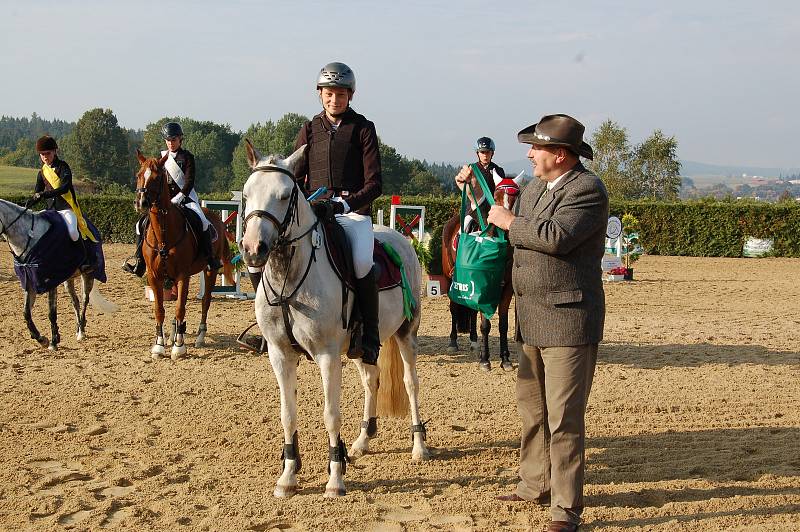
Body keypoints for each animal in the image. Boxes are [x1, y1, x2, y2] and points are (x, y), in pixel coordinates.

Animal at [135, 151, 233, 358]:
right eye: (138, 175)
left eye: (157, 177)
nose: (141, 203)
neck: (163, 232)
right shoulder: (154, 276)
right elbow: (159, 309)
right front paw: (159, 345)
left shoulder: (182, 275)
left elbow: (180, 308)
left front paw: (179, 347)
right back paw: (173, 333)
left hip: (210, 271)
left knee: (205, 302)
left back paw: (199, 337)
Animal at [239, 141, 432, 498]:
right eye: (246, 194)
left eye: (285, 195)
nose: (253, 249)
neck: (290, 276)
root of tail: (399, 238)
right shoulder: (280, 354)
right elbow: (287, 414)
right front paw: (288, 475)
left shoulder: (327, 355)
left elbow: (331, 414)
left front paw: (335, 478)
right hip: (362, 346)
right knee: (372, 381)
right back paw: (362, 441)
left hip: (406, 334)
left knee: (411, 384)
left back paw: (419, 447)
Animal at [440, 169, 528, 370]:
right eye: (495, 196)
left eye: (515, 197)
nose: (504, 225)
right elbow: (486, 325)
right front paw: (485, 360)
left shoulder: (507, 288)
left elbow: (503, 324)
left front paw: (505, 359)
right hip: (449, 279)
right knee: (454, 308)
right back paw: (453, 342)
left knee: (471, 310)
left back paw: (474, 341)